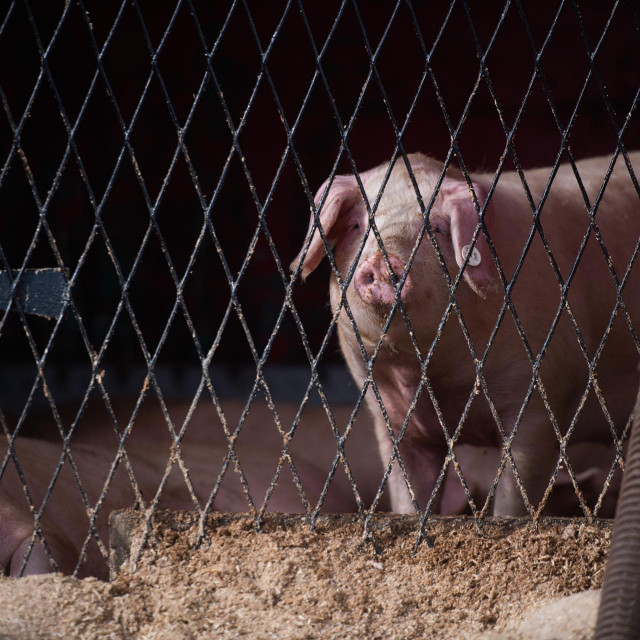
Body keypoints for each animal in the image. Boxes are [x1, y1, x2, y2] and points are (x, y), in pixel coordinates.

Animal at [292, 152, 640, 516]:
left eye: (437, 228)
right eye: (357, 226)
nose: (386, 261)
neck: (425, 375)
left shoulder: (543, 396)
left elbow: (515, 495)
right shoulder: (390, 416)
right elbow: (408, 494)